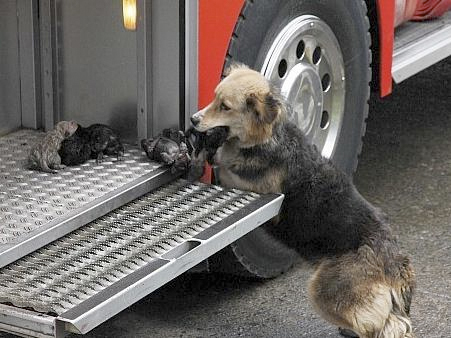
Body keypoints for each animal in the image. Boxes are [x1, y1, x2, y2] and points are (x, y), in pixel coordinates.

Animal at [191, 64, 416, 338]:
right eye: (214, 98)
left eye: (225, 106)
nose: (193, 119)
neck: (269, 137)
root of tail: (394, 260)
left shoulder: (255, 187)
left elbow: (224, 165)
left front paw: (204, 156)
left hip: (325, 290)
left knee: (382, 324)